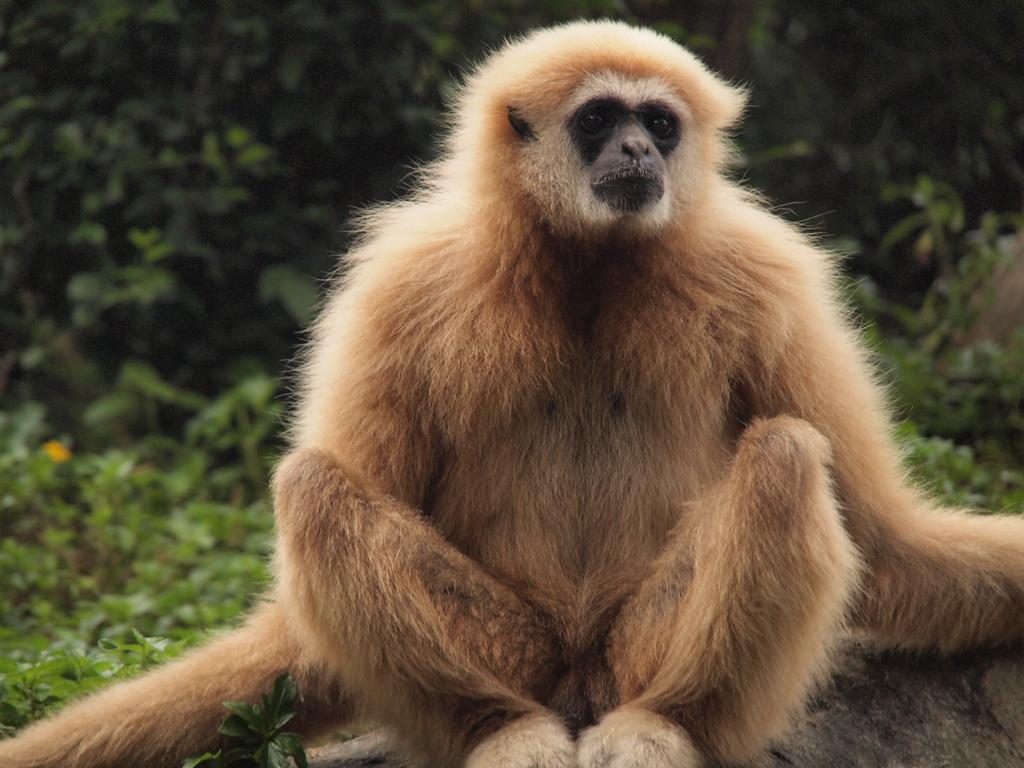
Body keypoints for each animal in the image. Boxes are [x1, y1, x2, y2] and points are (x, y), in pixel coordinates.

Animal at [3, 19, 1024, 768]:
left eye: (659, 125)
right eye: (599, 118)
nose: (636, 148)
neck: (586, 268)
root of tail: (578, 680)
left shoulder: (769, 278)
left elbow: (886, 539)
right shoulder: (399, 285)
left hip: (629, 648)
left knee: (781, 455)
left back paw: (666, 723)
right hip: (519, 645)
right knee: (316, 488)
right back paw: (502, 729)